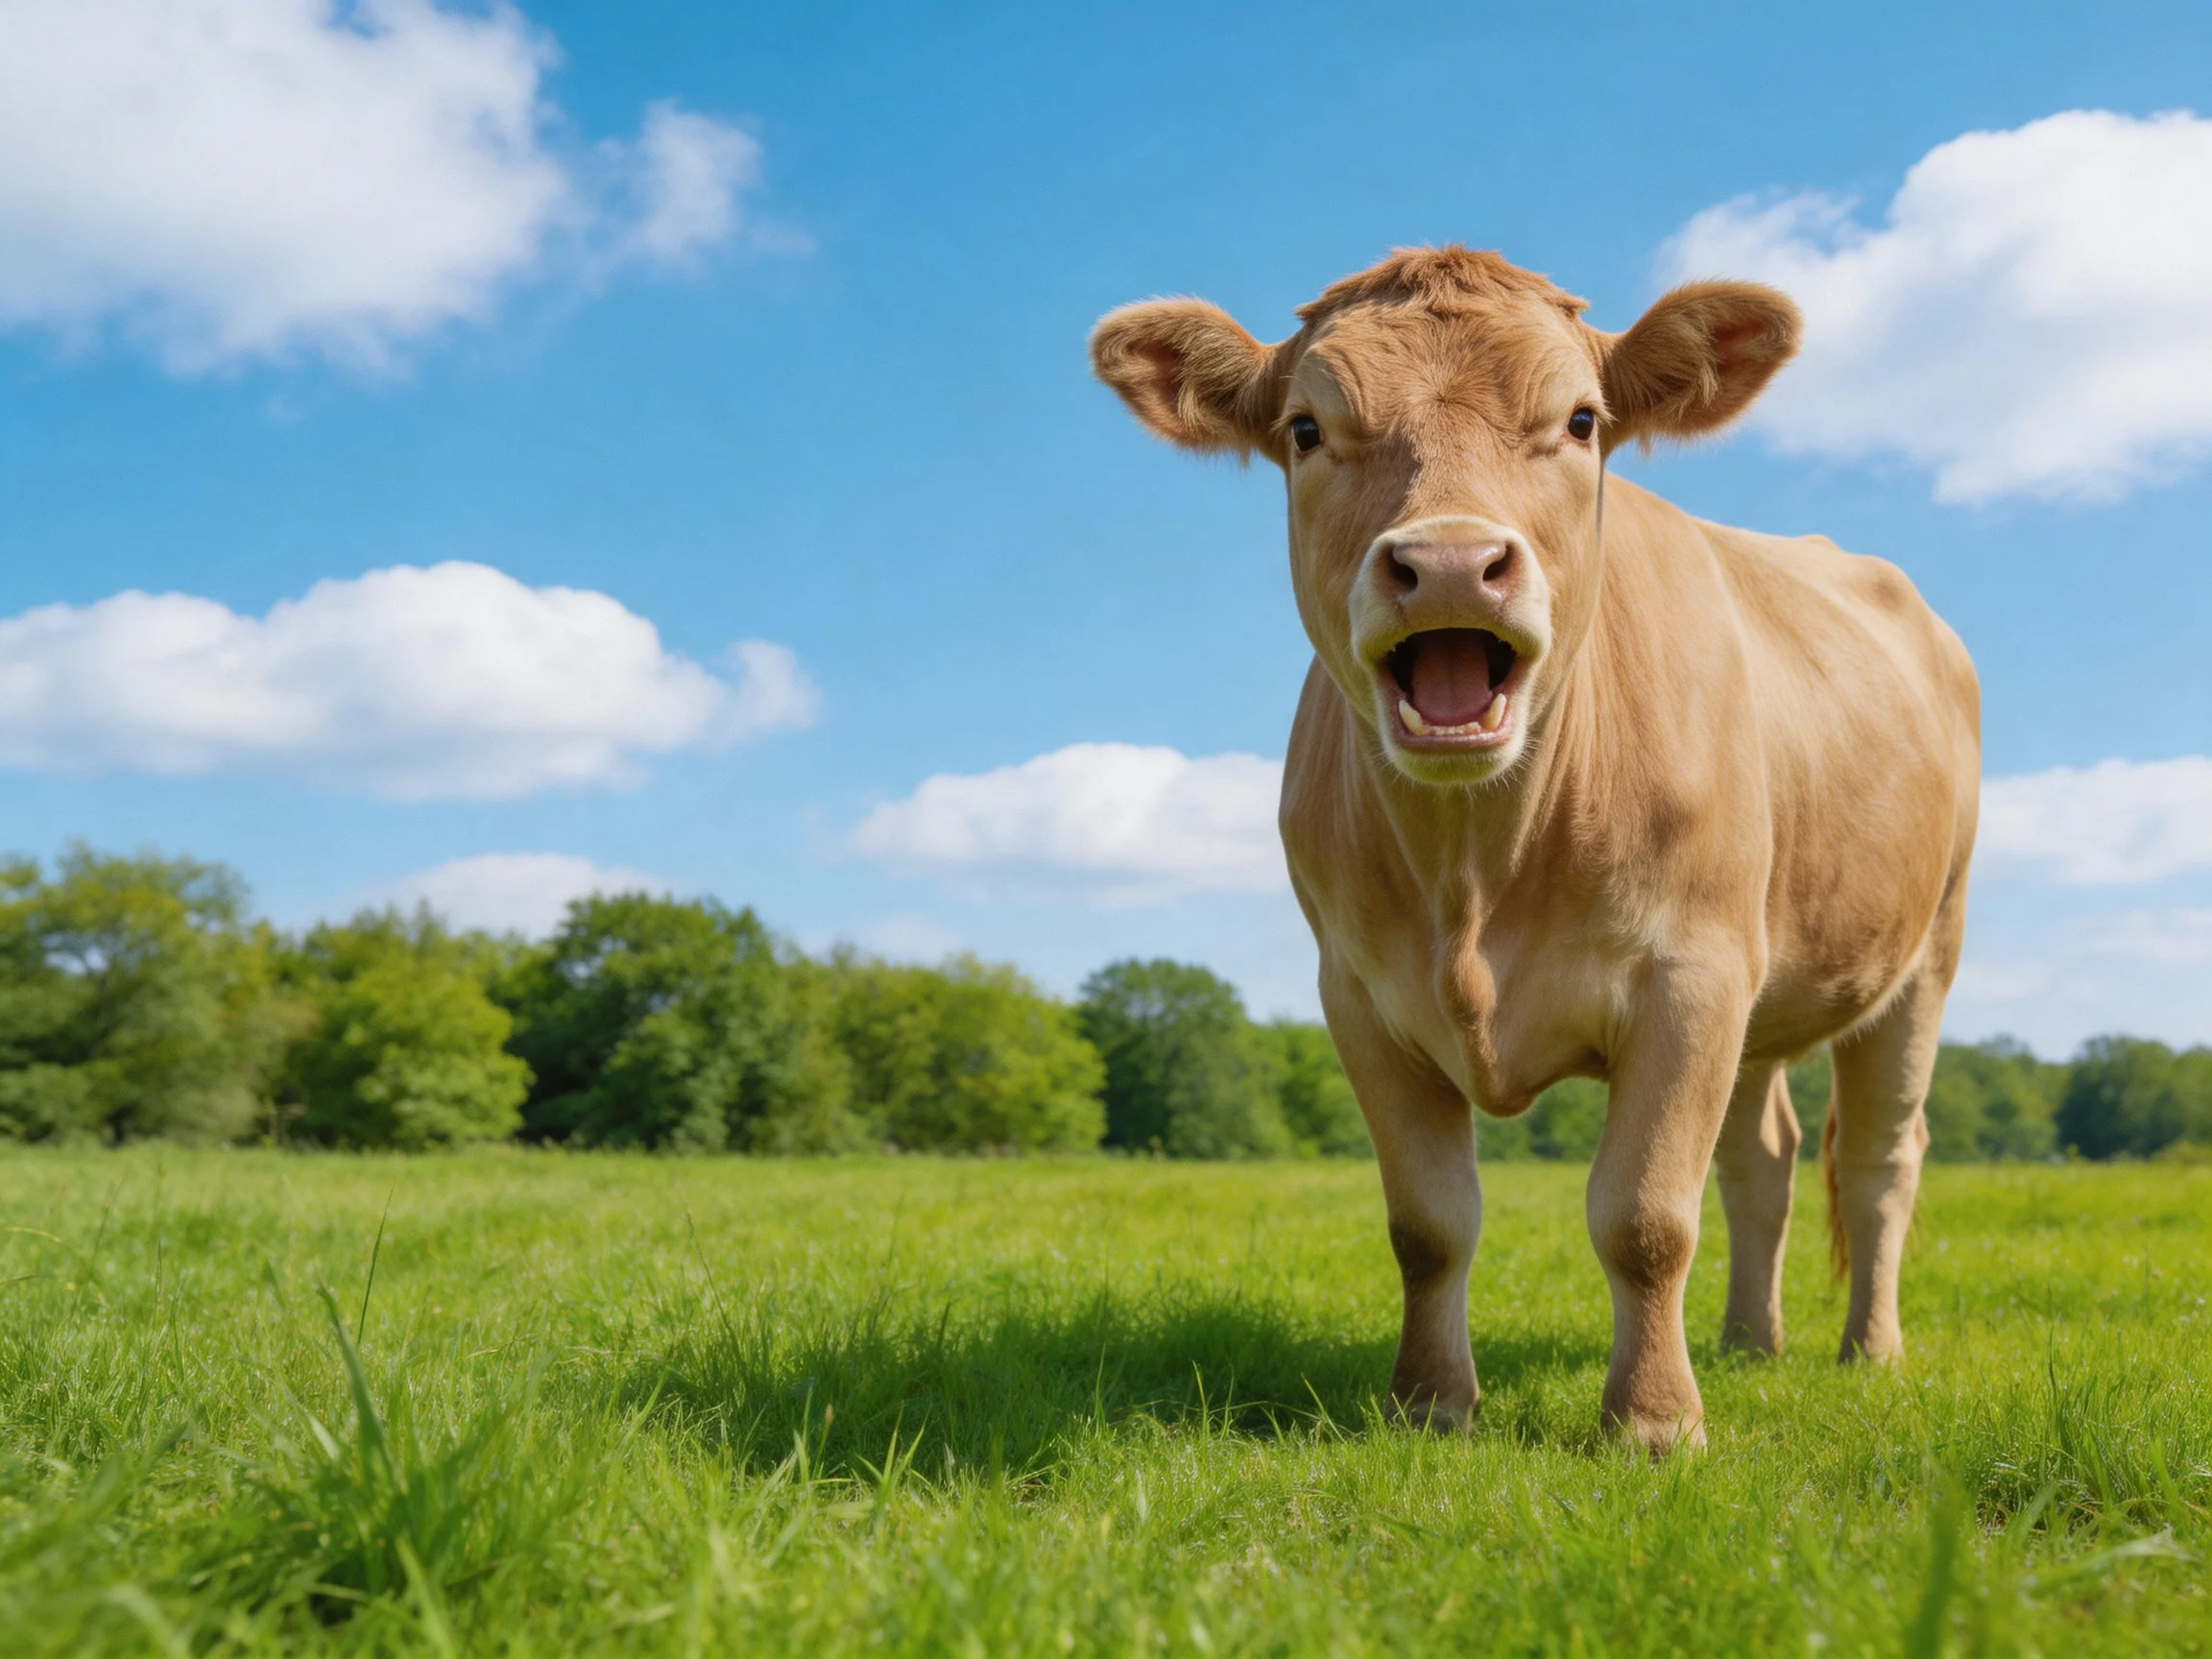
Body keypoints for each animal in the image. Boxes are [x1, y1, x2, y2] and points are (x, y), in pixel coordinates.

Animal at [1090, 247, 1979, 1453]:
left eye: (1582, 420)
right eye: (1308, 429)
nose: (1451, 561)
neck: (1478, 869)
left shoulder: (1691, 975)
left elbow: (1645, 1217)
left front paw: (1652, 1424)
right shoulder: (1357, 994)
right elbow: (1428, 1224)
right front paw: (1429, 1403)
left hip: (1925, 949)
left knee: (1881, 1157)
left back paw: (1868, 1352)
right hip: (1764, 984)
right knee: (1766, 1158)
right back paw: (1749, 1344)